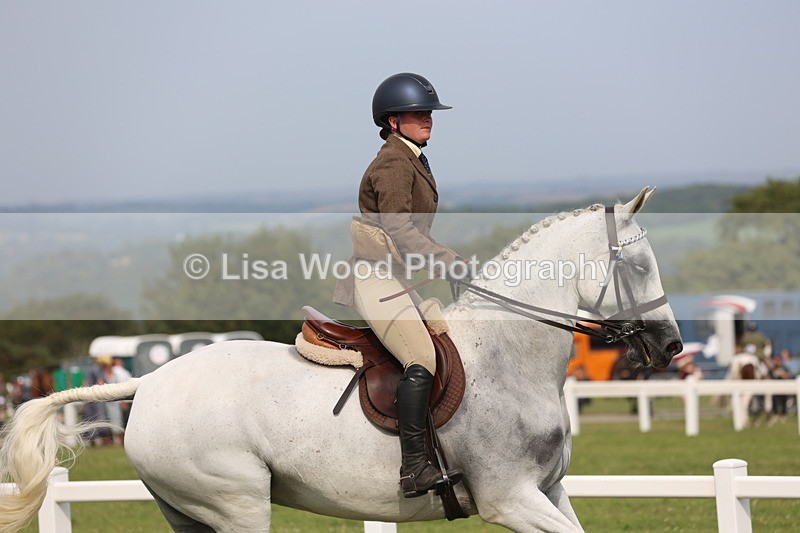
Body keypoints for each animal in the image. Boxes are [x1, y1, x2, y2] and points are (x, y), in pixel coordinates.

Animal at [0, 187, 683, 533]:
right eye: (635, 265)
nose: (671, 347)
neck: (510, 357)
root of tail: (154, 381)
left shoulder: (550, 490)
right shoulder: (511, 498)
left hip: (189, 511)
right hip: (235, 502)